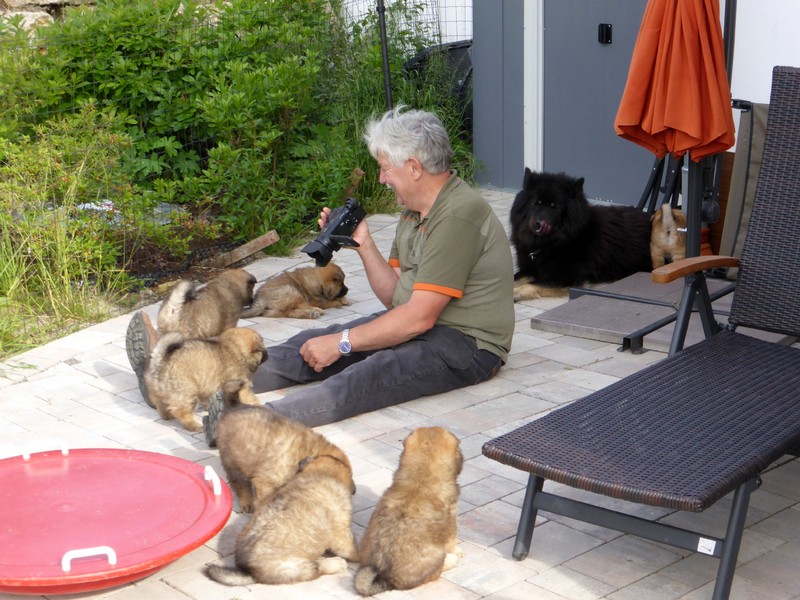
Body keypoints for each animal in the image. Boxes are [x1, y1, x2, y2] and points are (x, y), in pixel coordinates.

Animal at [204, 453, 359, 586]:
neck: (323, 472)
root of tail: (249, 571)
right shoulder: (341, 532)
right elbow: (350, 548)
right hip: (293, 567)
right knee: (316, 568)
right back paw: (336, 563)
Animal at [215, 398, 354, 513]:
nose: (353, 491)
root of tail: (234, 406)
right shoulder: (266, 483)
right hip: (232, 459)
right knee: (239, 484)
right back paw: (246, 503)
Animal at [354, 427, 464, 595]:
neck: (421, 479)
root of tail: (384, 574)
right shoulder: (451, 524)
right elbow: (452, 542)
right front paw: (458, 550)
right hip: (435, 557)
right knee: (437, 571)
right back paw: (452, 560)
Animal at [511, 168, 653, 301]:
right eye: (537, 203)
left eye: (554, 207)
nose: (538, 224)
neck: (552, 243)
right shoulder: (530, 269)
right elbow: (515, 278)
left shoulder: (566, 277)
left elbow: (530, 284)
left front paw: (514, 294)